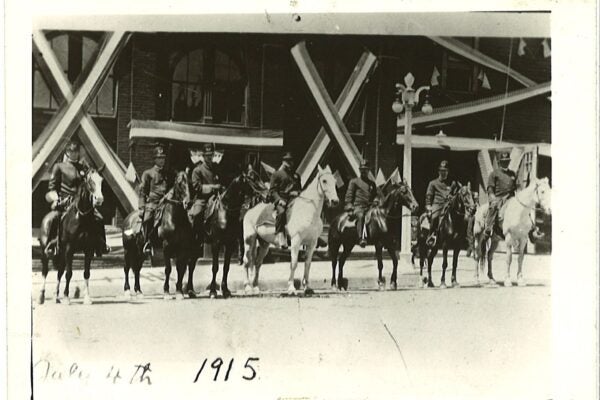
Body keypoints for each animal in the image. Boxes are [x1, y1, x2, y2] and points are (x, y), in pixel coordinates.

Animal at [37, 167, 105, 304]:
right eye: (90, 181)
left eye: (101, 180)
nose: (99, 199)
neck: (81, 217)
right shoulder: (69, 248)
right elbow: (69, 273)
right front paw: (67, 297)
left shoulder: (88, 249)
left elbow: (86, 273)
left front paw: (87, 298)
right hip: (46, 250)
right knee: (45, 271)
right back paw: (41, 296)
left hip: (61, 253)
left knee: (59, 272)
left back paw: (56, 296)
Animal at [243, 164, 338, 296]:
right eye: (324, 181)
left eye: (335, 181)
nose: (335, 201)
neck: (309, 211)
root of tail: (250, 211)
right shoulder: (296, 241)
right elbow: (294, 264)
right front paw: (291, 288)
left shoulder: (312, 243)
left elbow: (307, 264)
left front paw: (307, 287)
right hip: (249, 240)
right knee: (247, 261)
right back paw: (247, 287)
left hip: (264, 244)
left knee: (257, 262)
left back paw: (256, 287)